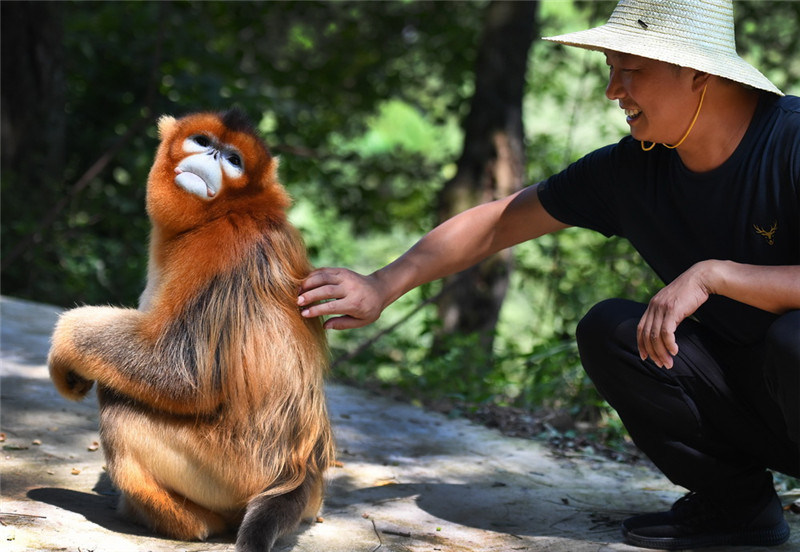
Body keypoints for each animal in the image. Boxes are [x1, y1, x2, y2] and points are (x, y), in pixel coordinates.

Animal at [47, 109, 334, 552]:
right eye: (202, 141)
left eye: (233, 160)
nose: (213, 156)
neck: (226, 211)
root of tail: (299, 473)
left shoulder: (219, 248)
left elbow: (181, 372)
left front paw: (65, 346)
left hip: (231, 468)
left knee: (120, 409)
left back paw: (183, 523)